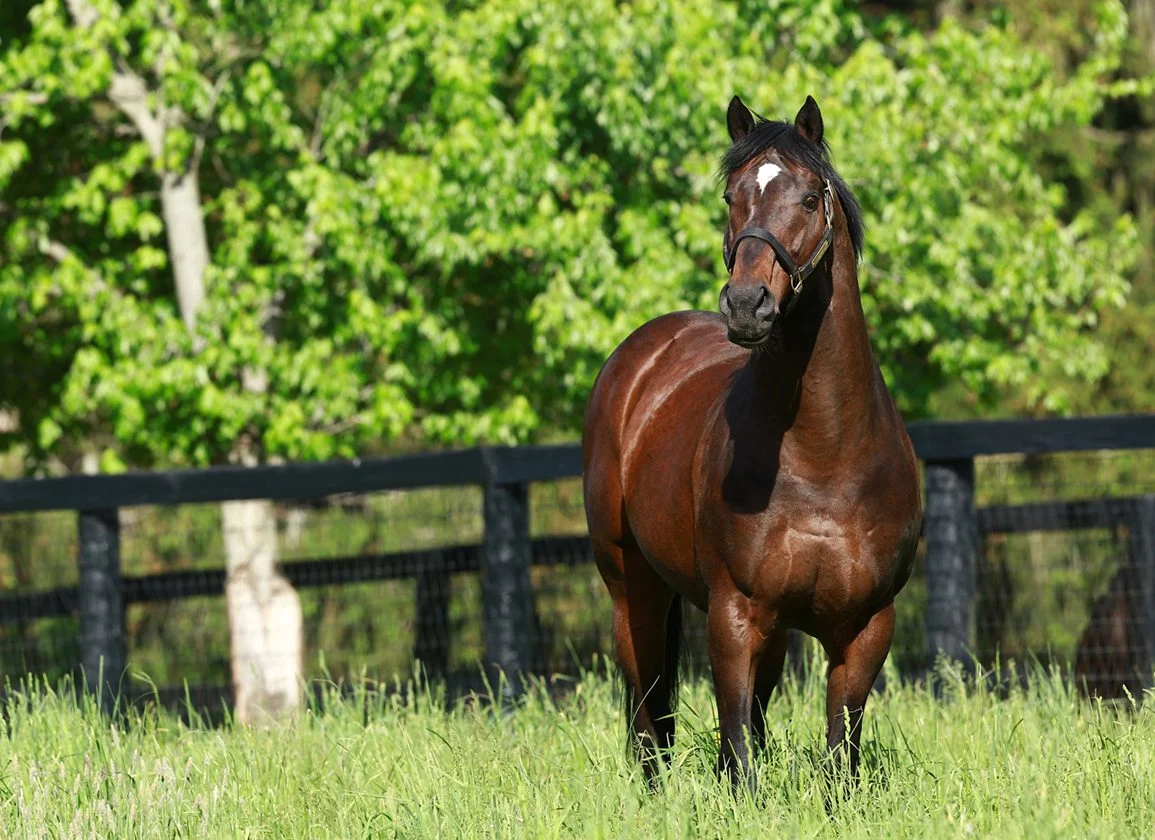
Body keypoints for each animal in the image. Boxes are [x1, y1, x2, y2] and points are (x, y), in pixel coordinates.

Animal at [581, 95, 922, 790]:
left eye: (809, 199)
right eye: (731, 196)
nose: (745, 304)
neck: (825, 456)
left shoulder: (866, 627)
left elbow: (838, 754)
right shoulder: (734, 615)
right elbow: (738, 752)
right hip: (633, 588)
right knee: (647, 711)